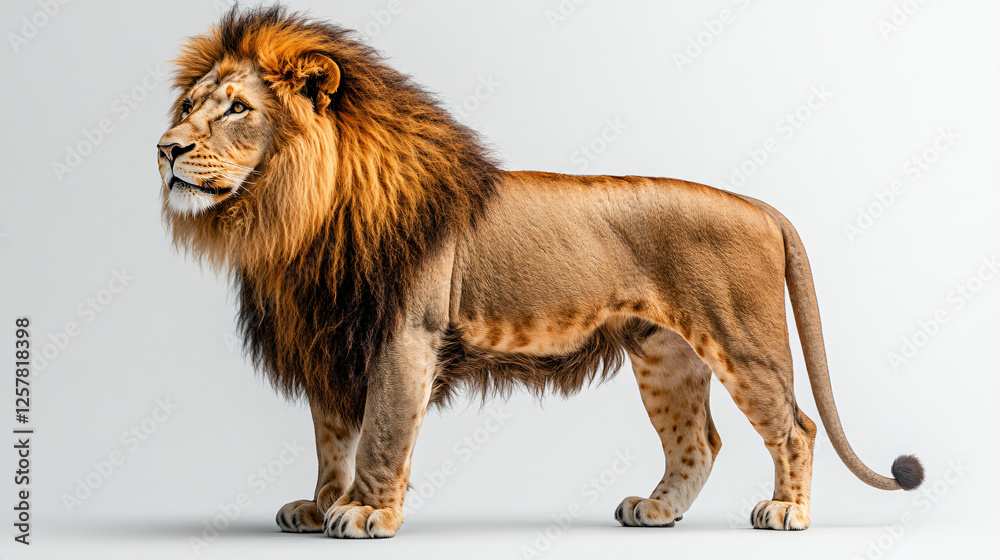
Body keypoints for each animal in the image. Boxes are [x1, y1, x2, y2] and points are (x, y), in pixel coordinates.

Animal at [157, 7, 924, 538]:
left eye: (238, 108)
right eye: (189, 106)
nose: (165, 148)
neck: (293, 220)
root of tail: (761, 206)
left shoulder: (405, 335)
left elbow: (381, 434)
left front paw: (367, 514)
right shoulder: (330, 342)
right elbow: (331, 441)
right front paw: (321, 507)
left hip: (741, 339)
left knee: (795, 426)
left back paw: (786, 512)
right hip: (665, 355)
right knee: (697, 441)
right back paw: (656, 510)